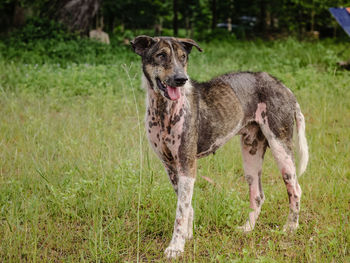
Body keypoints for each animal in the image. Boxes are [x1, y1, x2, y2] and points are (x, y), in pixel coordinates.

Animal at [131, 35, 308, 260]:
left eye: (183, 57)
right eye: (161, 55)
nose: (182, 79)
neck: (164, 110)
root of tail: (284, 87)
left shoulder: (187, 164)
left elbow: (180, 212)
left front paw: (176, 247)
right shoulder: (171, 166)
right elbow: (186, 206)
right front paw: (188, 236)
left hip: (281, 148)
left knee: (295, 189)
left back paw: (290, 228)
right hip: (251, 154)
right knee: (258, 195)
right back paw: (248, 228)